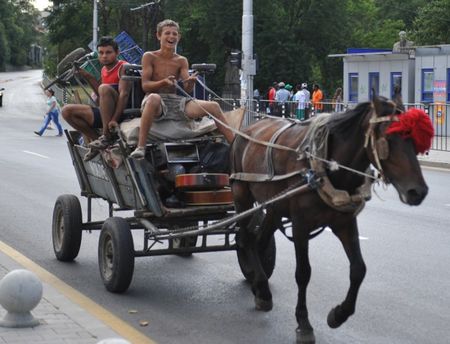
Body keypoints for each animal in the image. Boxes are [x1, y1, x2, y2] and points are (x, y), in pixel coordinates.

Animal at [230, 95, 434, 344]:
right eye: (388, 139)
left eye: (414, 140)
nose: (418, 192)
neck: (324, 165)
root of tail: (248, 129)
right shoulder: (300, 225)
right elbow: (303, 273)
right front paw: (303, 323)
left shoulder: (345, 223)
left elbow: (358, 269)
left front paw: (339, 314)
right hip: (241, 193)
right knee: (246, 239)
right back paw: (261, 285)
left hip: (274, 205)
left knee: (260, 239)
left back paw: (260, 288)